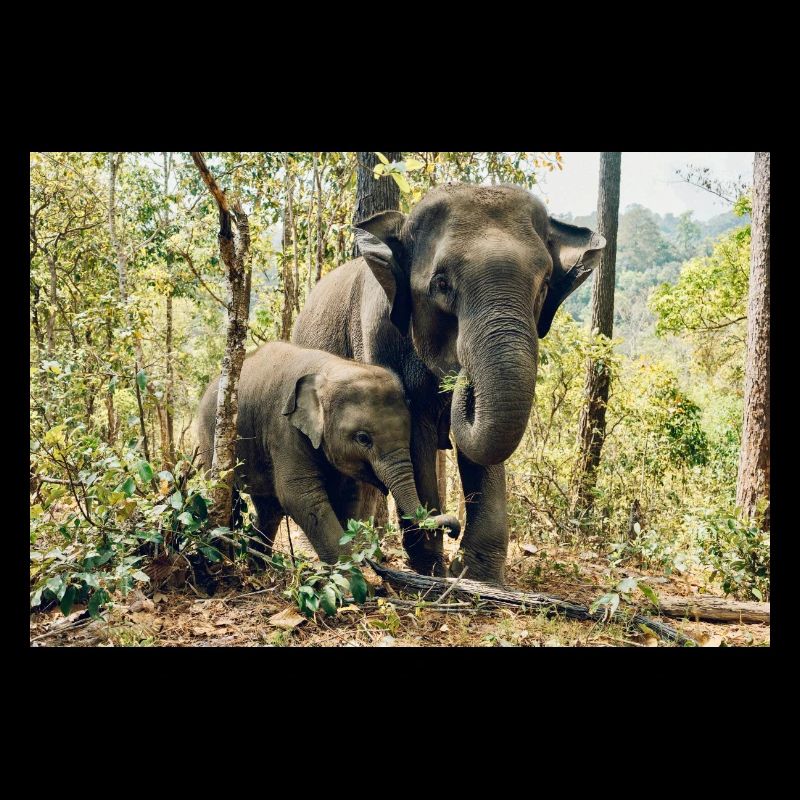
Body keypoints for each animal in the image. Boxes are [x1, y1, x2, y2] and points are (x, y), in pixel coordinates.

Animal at [197, 341, 460, 566]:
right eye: (363, 438)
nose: (454, 530)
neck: (330, 369)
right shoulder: (284, 429)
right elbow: (300, 496)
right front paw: (352, 582)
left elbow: (348, 495)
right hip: (210, 438)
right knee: (227, 495)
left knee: (269, 508)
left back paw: (259, 567)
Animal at [292, 183, 605, 583]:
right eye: (441, 284)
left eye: (545, 285)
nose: (461, 377)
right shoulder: (378, 335)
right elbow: (415, 433)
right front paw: (432, 569)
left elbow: (482, 448)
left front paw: (477, 575)